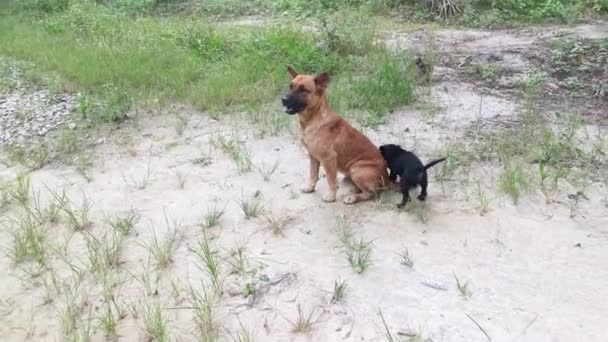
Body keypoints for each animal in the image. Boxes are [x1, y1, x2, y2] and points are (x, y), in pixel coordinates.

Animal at [282, 66, 392, 204]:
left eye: (303, 90)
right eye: (290, 86)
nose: (283, 99)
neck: (313, 119)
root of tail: (387, 179)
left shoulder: (329, 158)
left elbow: (330, 180)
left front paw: (331, 196)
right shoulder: (313, 156)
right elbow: (313, 174)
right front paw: (310, 187)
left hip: (357, 170)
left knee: (370, 193)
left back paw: (353, 197)